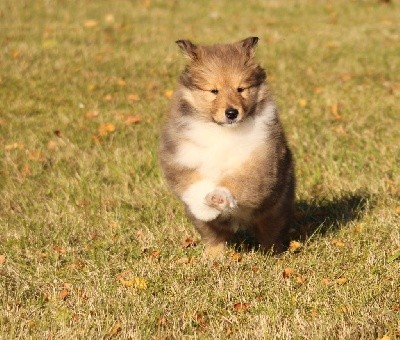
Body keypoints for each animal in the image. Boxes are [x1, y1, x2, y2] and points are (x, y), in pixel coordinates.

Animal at [159, 36, 294, 258]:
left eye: (241, 89)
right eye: (214, 91)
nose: (232, 113)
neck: (223, 131)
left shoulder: (262, 156)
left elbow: (240, 181)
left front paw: (219, 197)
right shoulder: (179, 155)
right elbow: (191, 183)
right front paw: (207, 206)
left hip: (277, 207)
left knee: (270, 234)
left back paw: (272, 253)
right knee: (216, 238)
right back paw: (213, 258)